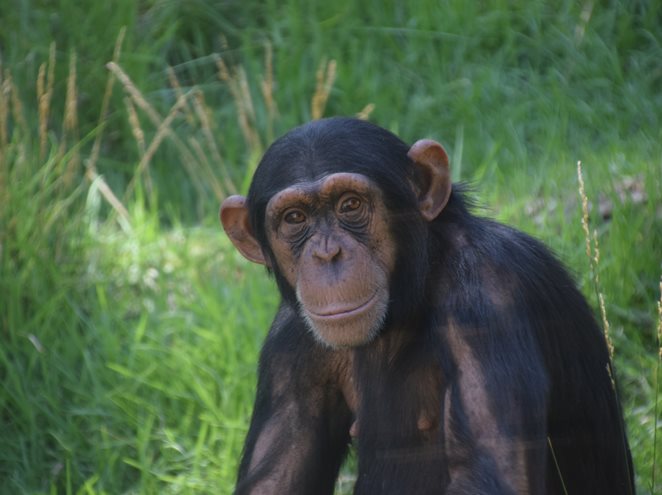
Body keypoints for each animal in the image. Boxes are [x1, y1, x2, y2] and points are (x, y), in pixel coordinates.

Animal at [220, 118, 636, 494]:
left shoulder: (487, 292)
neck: (405, 306)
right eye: (295, 218)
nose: (327, 255)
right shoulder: (288, 345)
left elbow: (495, 477)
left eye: (350, 205)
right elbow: (274, 481)